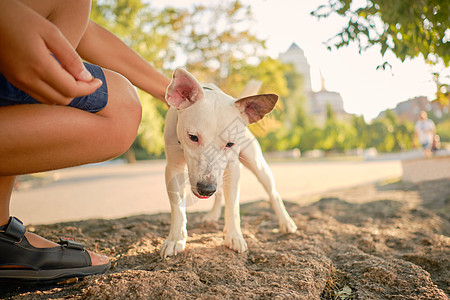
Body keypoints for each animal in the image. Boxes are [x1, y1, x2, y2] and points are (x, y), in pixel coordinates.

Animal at [160, 68, 298, 258]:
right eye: (193, 137)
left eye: (230, 144)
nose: (206, 189)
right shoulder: (173, 167)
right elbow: (177, 207)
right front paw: (175, 239)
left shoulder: (232, 168)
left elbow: (233, 206)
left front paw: (234, 236)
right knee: (218, 194)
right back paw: (212, 215)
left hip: (256, 164)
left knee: (273, 193)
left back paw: (286, 222)